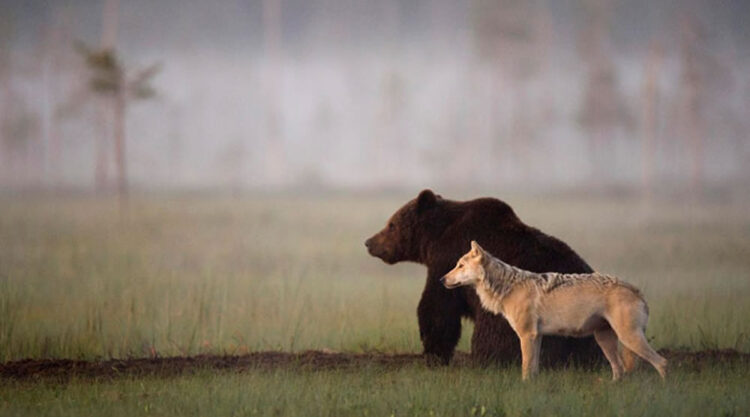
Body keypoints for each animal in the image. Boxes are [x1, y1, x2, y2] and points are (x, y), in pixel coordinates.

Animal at [366, 188, 604, 364]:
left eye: (391, 224)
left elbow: (437, 308)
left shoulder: (446, 260)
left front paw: (434, 353)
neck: (435, 237)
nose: (369, 242)